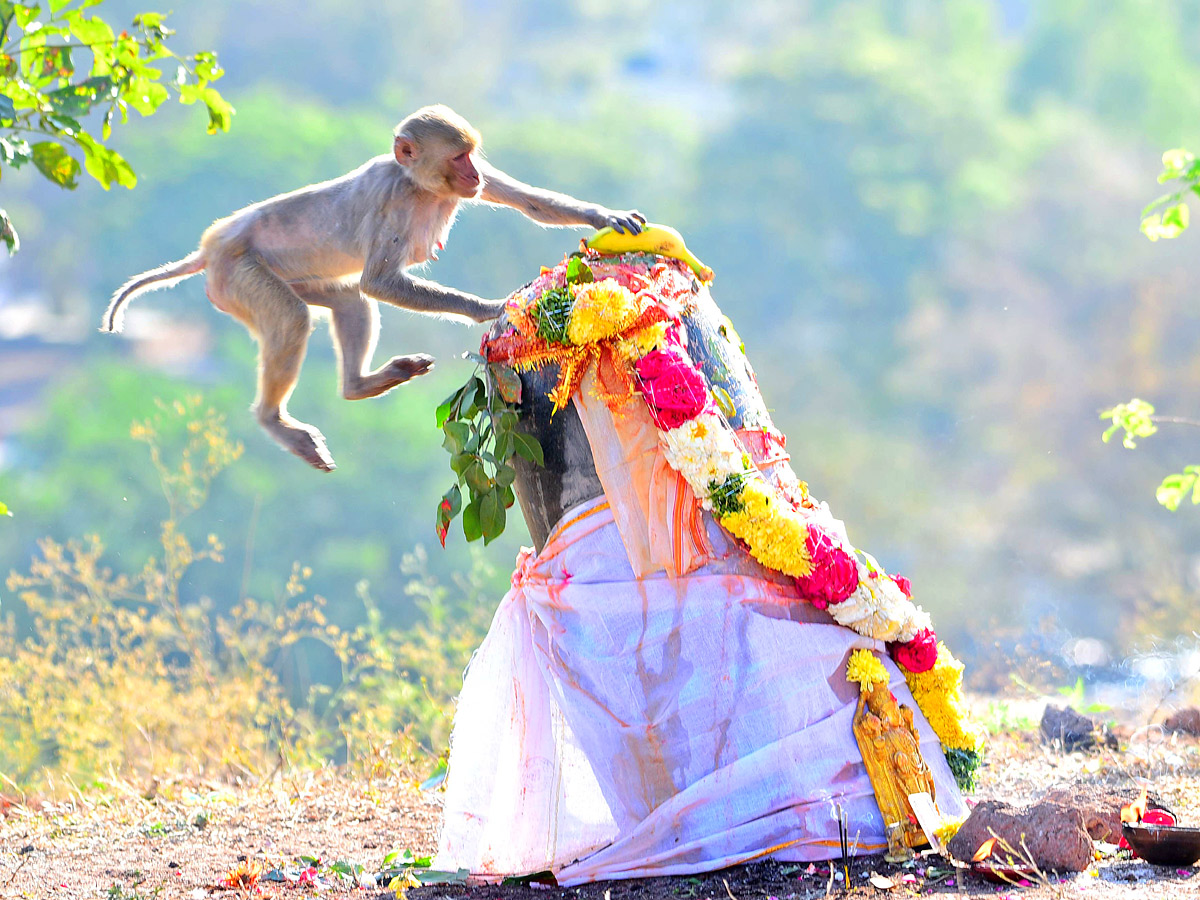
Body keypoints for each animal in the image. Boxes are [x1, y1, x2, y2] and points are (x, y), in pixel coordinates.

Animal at [100, 105, 648, 472]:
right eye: (458, 157)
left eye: (472, 156)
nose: (473, 173)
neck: (420, 185)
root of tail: (209, 248)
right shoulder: (392, 202)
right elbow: (379, 280)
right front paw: (490, 310)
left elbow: (529, 202)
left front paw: (605, 217)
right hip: (239, 276)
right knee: (296, 317)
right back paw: (276, 420)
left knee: (345, 300)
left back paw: (358, 385)